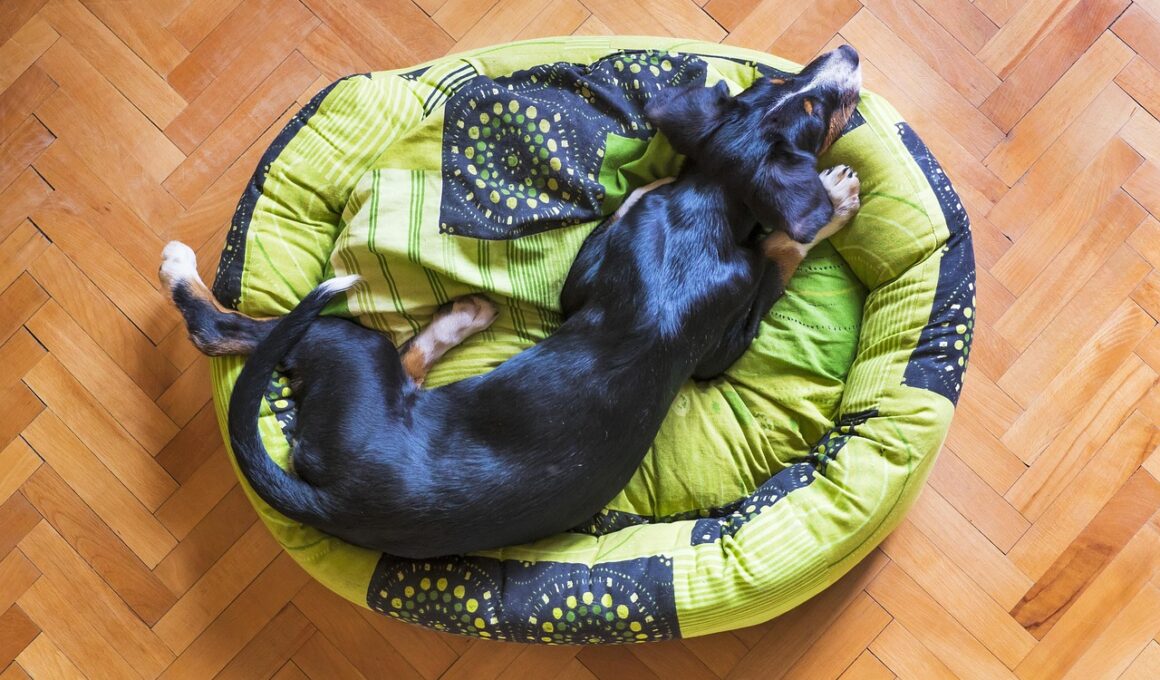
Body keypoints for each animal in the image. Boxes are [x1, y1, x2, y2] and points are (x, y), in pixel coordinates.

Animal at [160, 46, 863, 559]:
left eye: (790, 88)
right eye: (814, 103)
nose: (848, 55)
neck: (704, 207)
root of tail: (330, 498)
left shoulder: (589, 277)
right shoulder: (722, 343)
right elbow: (780, 251)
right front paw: (834, 201)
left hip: (371, 372)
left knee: (395, 359)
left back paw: (464, 316)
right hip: (352, 350)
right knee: (219, 328)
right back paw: (181, 272)